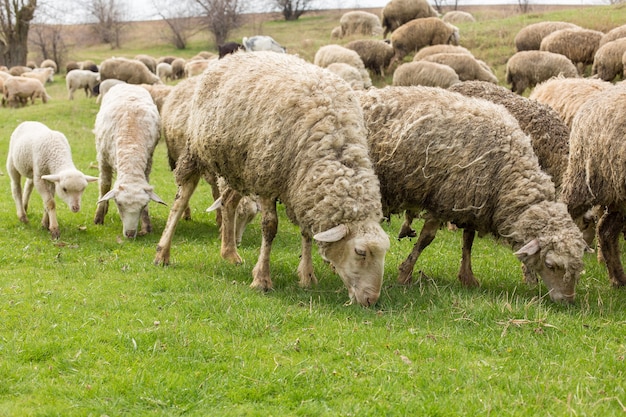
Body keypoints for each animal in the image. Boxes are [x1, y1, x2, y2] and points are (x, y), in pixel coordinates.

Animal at [93, 83, 166, 239]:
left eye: (143, 205)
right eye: (119, 204)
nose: (130, 234)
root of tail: (128, 84)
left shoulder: (148, 163)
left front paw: (146, 225)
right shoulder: (103, 159)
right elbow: (104, 185)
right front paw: (99, 216)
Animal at [155, 51, 390, 306]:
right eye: (360, 252)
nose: (371, 299)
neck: (333, 142)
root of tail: (234, 55)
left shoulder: (301, 185)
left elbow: (306, 232)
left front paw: (307, 275)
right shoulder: (267, 179)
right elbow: (269, 228)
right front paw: (262, 279)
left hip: (239, 166)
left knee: (228, 203)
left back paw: (230, 253)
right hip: (199, 151)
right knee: (181, 198)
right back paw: (163, 252)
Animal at [356, 84, 584, 300]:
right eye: (551, 265)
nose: (568, 300)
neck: (506, 173)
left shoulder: (472, 200)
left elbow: (468, 241)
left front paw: (467, 277)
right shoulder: (444, 197)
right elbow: (426, 239)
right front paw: (405, 273)